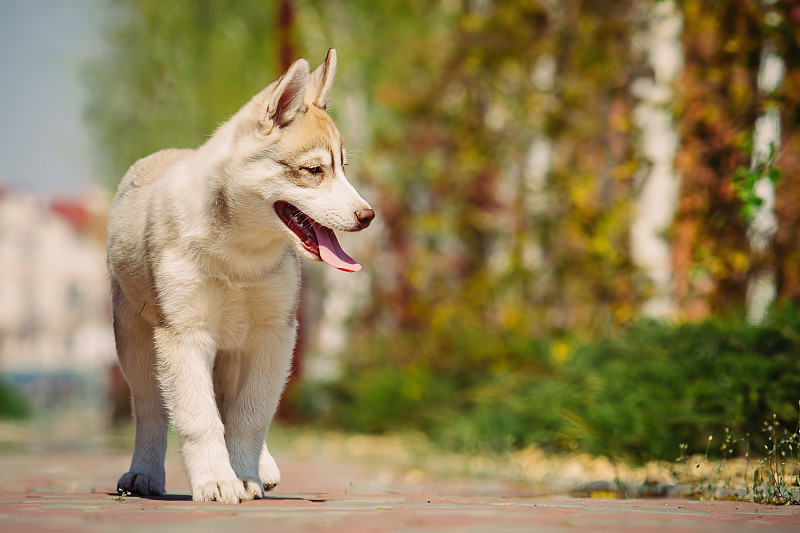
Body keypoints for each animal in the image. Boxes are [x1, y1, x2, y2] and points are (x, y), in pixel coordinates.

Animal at [105, 47, 376, 500]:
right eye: (314, 171)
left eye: (343, 168)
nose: (368, 215)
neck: (240, 256)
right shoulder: (184, 335)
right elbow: (198, 418)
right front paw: (216, 480)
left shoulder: (275, 335)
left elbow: (252, 415)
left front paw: (244, 474)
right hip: (136, 341)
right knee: (150, 411)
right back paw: (144, 473)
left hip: (236, 348)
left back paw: (259, 468)